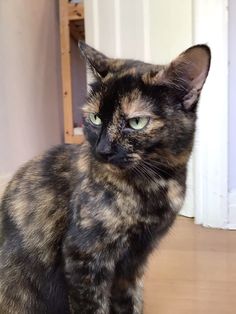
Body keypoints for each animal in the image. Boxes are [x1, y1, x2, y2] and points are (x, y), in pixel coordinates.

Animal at [0, 41, 210, 314]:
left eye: (136, 122)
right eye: (95, 118)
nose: (102, 150)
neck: (155, 185)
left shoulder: (133, 262)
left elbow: (129, 302)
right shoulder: (84, 256)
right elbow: (93, 307)